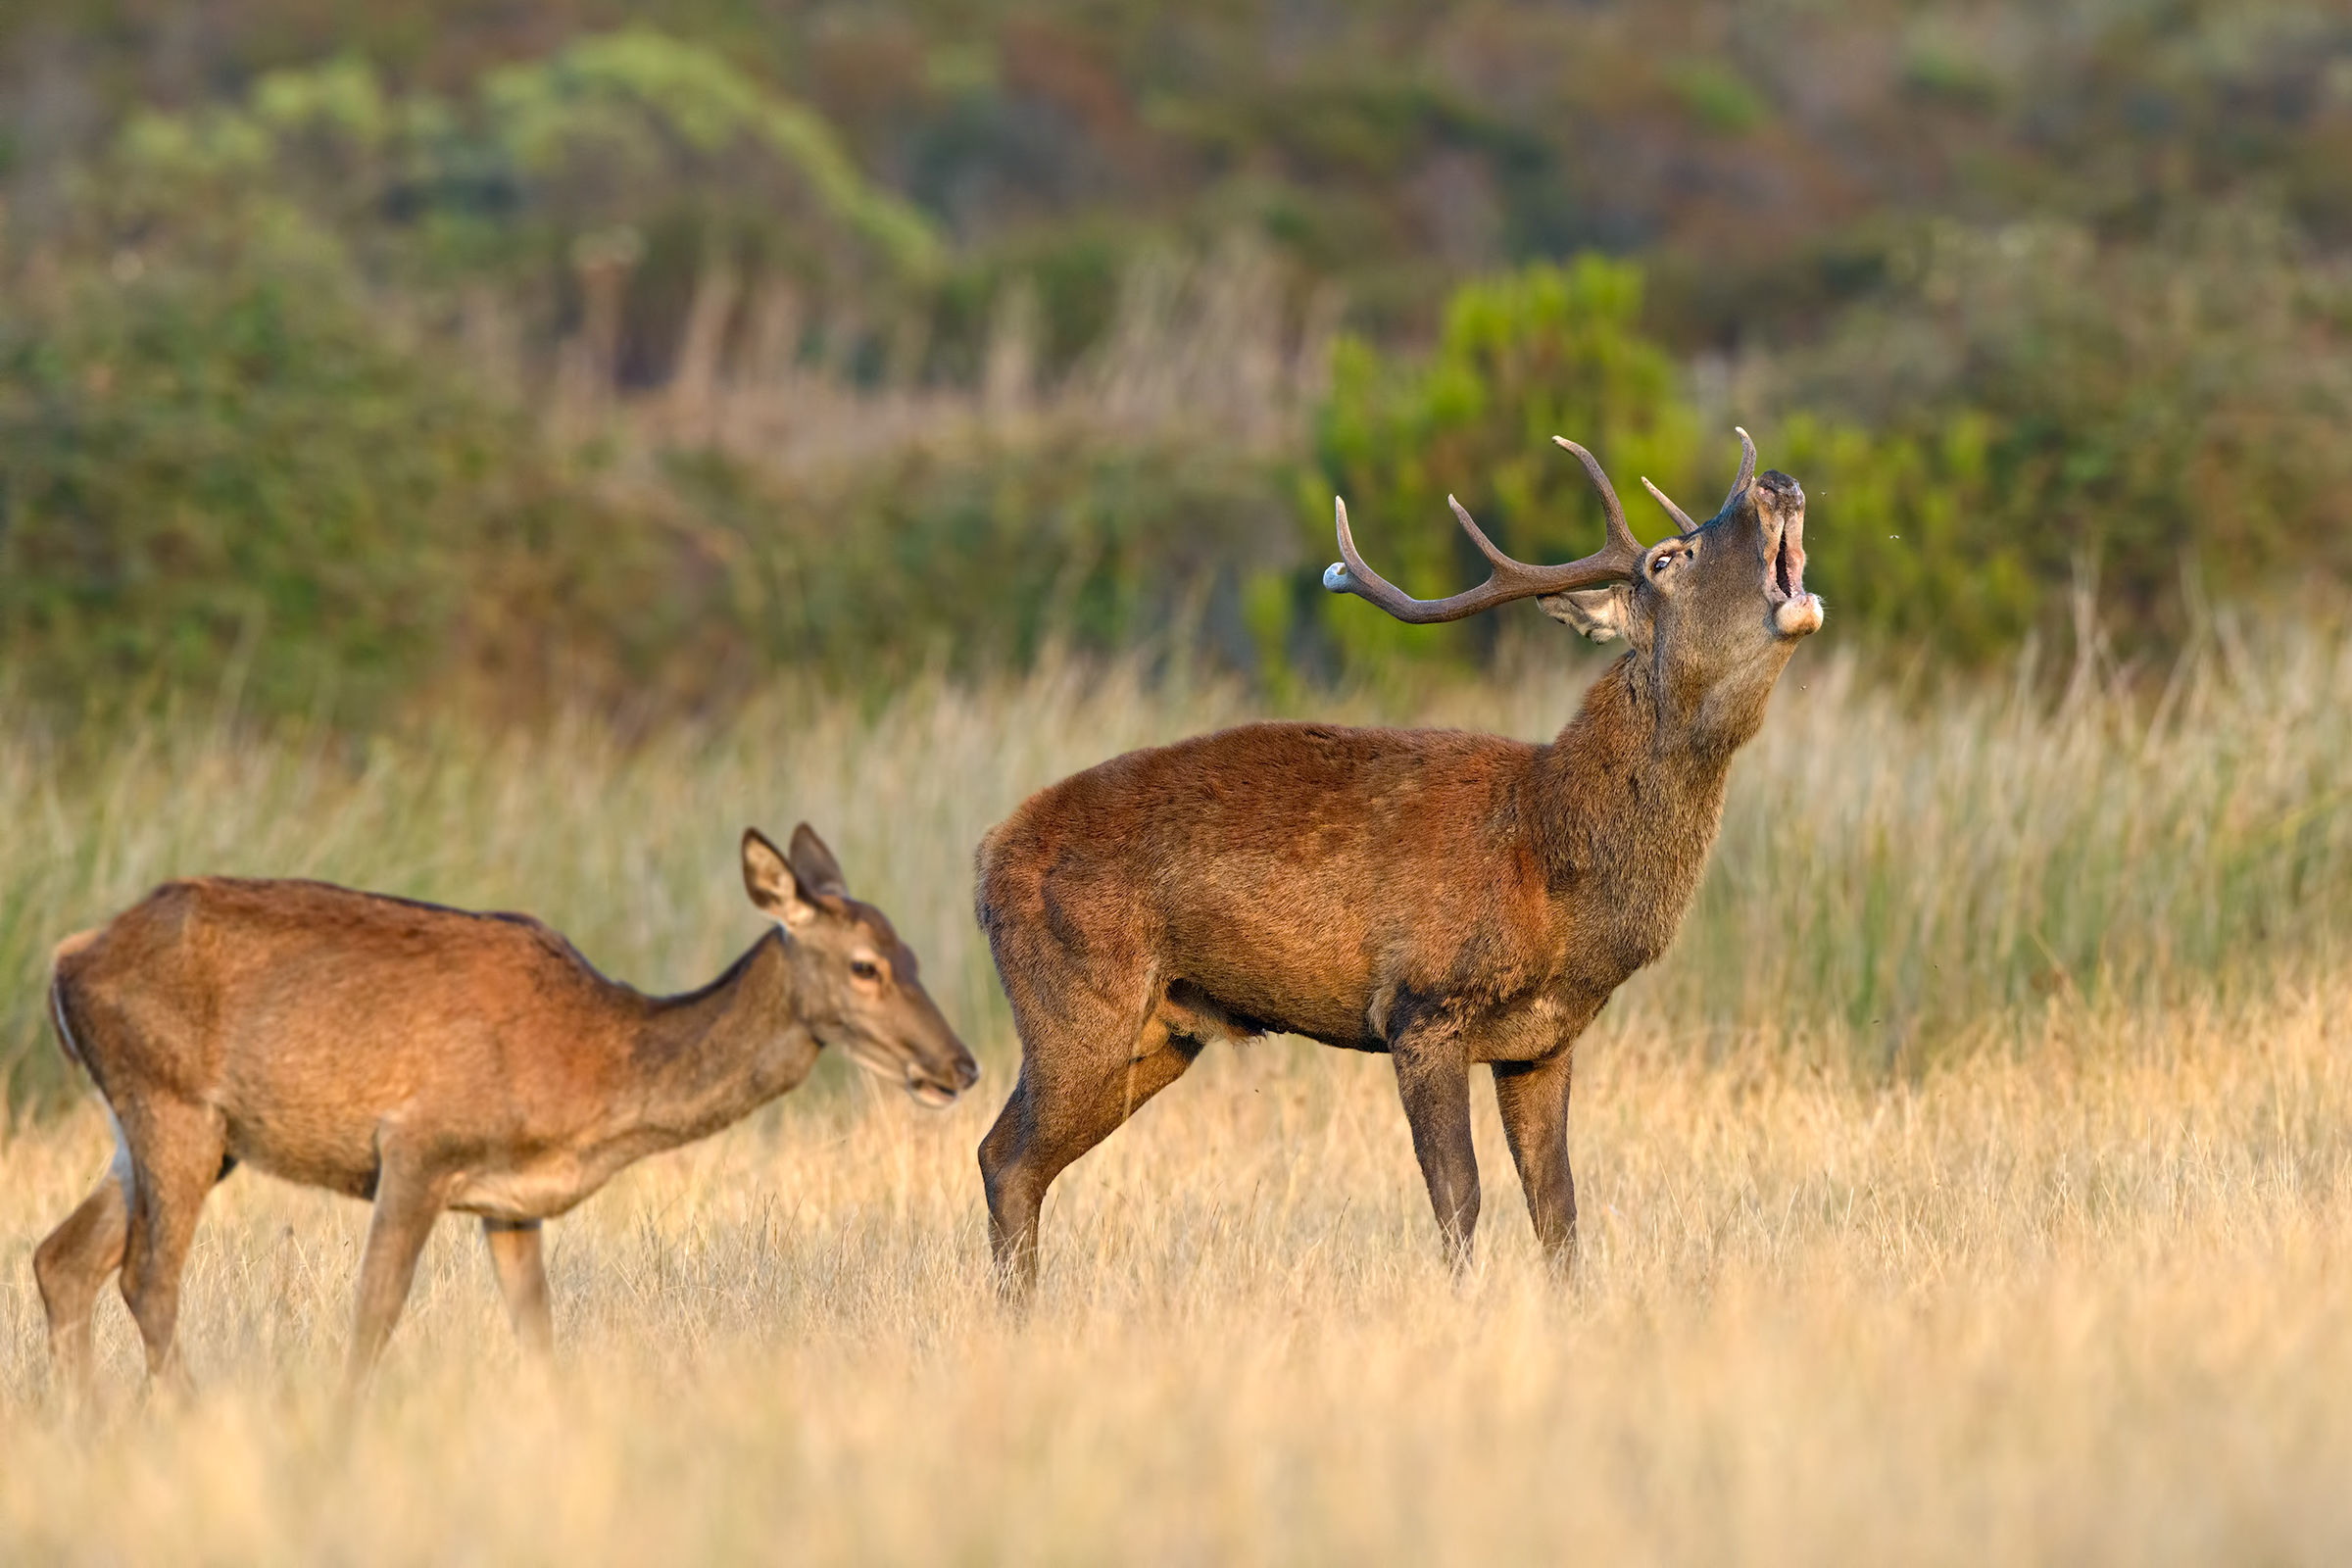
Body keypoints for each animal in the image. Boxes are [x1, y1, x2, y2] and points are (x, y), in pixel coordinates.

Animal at [33, 824, 977, 1399]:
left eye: (912, 953)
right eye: (864, 967)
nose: (960, 1065)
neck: (591, 1076)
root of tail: (65, 960)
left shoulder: (512, 1205)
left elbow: (539, 1336)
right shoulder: (418, 1146)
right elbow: (374, 1312)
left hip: (176, 1129)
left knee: (62, 1258)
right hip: (173, 1103)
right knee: (147, 1277)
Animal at [974, 430, 1822, 1299]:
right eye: (1667, 558)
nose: (1776, 481)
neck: (1551, 865)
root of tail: (986, 858)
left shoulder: (1544, 1043)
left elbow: (1558, 1208)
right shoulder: (1421, 1006)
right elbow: (1459, 1196)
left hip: (1161, 1034)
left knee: (1013, 1159)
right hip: (1077, 1008)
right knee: (1004, 1159)